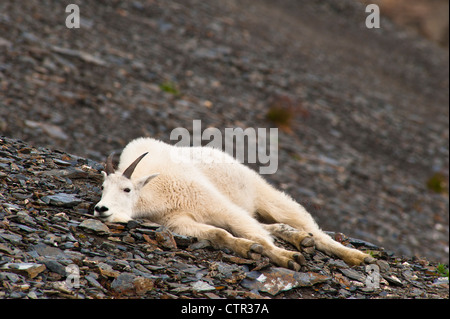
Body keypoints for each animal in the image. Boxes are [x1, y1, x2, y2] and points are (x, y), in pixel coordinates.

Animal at [93, 138, 374, 270]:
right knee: (270, 226)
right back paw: (301, 239)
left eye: (127, 189)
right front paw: (249, 250)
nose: (100, 209)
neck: (157, 191)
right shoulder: (178, 222)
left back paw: (357, 256)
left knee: (313, 230)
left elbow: (257, 236)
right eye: (103, 188)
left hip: (267, 197)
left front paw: (287, 258)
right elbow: (219, 234)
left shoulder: (216, 204)